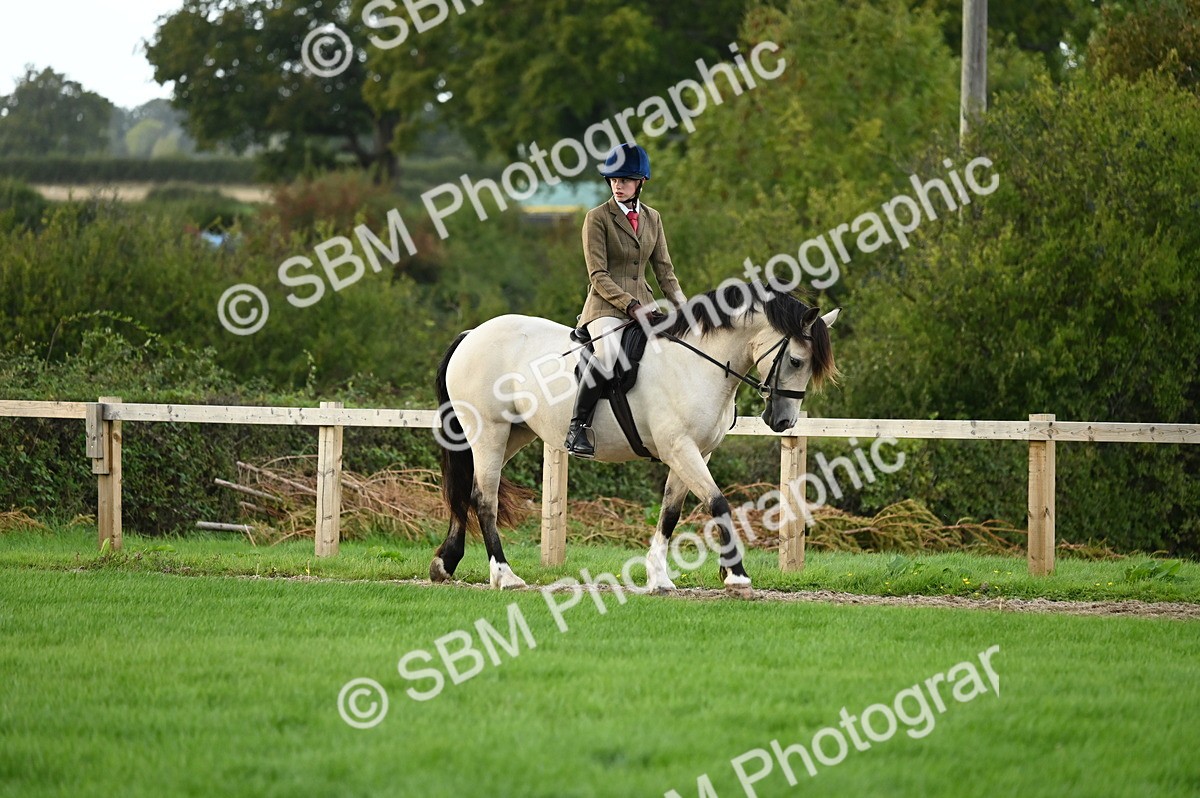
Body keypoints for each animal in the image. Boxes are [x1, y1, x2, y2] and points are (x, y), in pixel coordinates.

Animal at [430, 280, 839, 593]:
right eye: (796, 361)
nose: (783, 421)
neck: (697, 363)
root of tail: (471, 334)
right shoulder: (681, 449)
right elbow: (718, 502)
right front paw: (736, 576)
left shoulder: (695, 452)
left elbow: (671, 512)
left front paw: (660, 577)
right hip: (489, 431)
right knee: (484, 498)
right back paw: (505, 575)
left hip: (514, 434)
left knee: (468, 490)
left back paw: (444, 563)